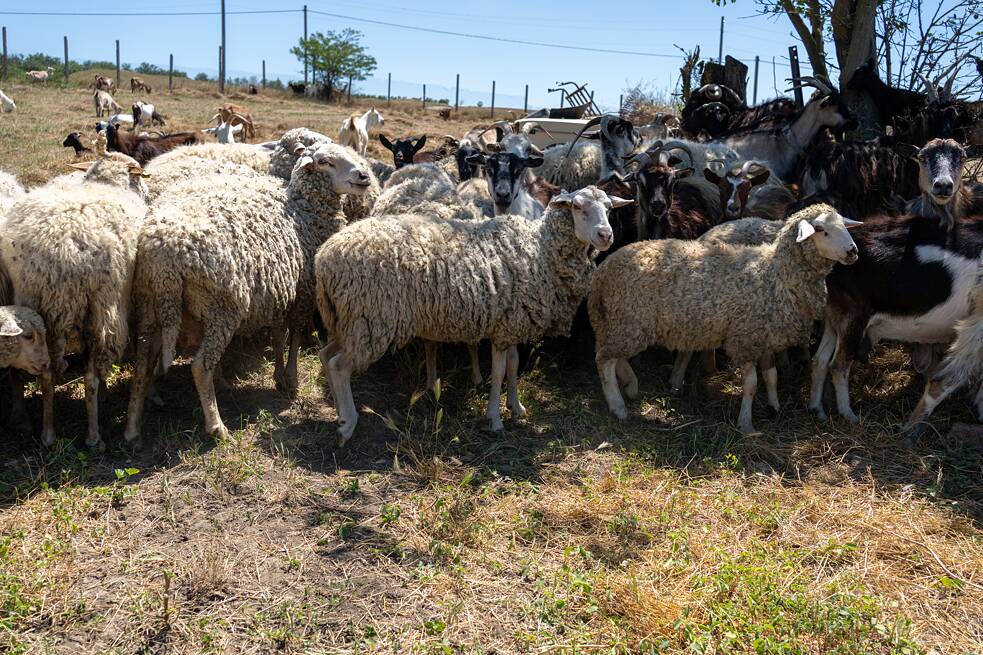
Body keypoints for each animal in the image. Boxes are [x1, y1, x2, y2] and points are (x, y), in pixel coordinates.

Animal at [0, 178, 148, 452]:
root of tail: (65, 247)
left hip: (35, 308)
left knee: (46, 375)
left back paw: (48, 435)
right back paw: (94, 437)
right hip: (99, 309)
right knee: (89, 380)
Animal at [316, 183, 632, 446]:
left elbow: (514, 365)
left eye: (609, 208)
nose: (606, 236)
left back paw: (339, 413)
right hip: (372, 319)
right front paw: (495, 419)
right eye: (577, 207)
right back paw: (347, 425)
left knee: (325, 355)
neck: (539, 251)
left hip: (348, 320)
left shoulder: (511, 323)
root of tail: (324, 256)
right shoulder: (504, 328)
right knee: (339, 365)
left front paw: (516, 407)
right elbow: (499, 371)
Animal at [588, 202, 856, 434]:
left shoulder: (765, 337)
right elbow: (751, 385)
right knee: (604, 360)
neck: (775, 273)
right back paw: (619, 407)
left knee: (610, 354)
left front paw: (774, 408)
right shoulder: (745, 339)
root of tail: (605, 269)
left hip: (619, 322)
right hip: (629, 320)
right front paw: (746, 425)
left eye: (843, 225)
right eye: (820, 230)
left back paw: (630, 386)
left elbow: (771, 376)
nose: (853, 251)